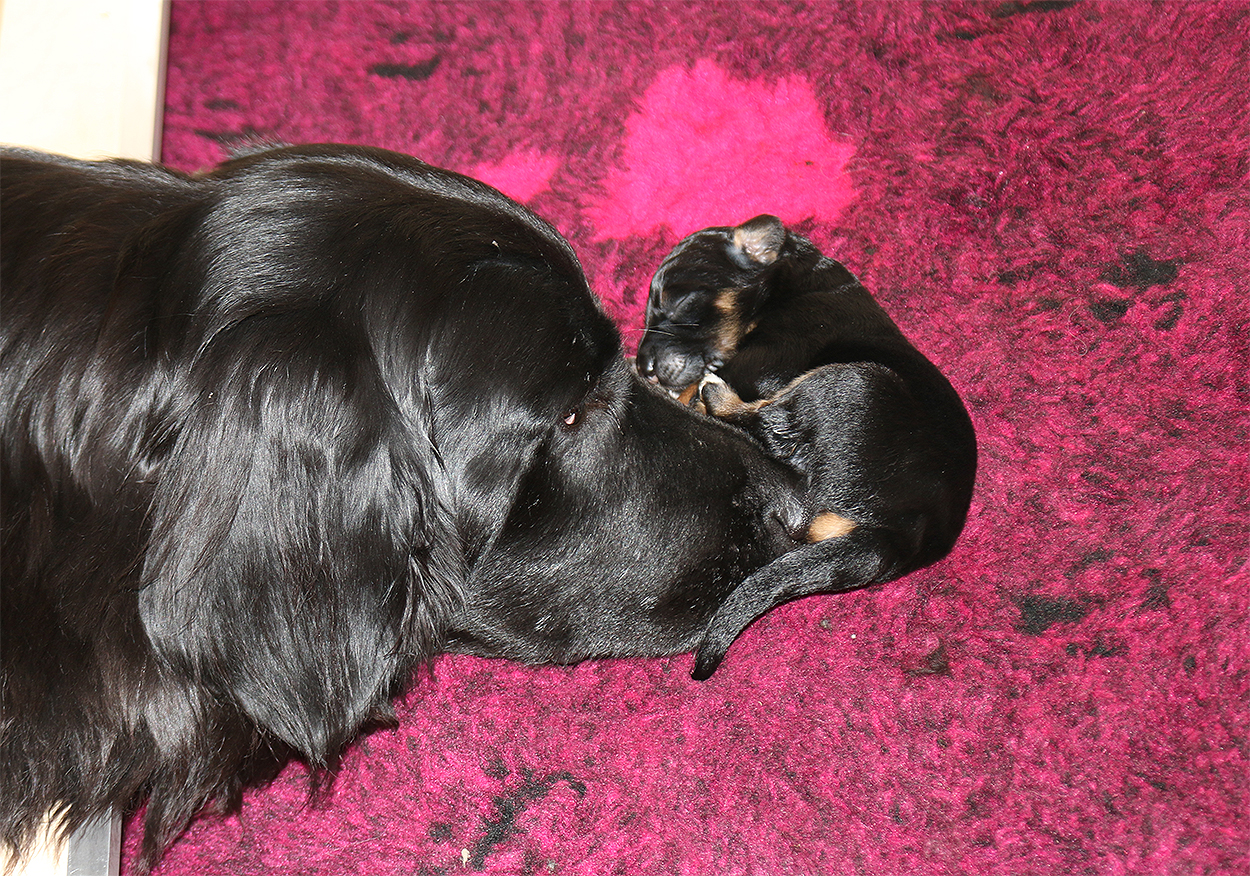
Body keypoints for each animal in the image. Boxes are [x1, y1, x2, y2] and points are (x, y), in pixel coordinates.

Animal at [637, 215, 978, 680]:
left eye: (678, 300)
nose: (643, 366)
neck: (789, 280)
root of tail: (903, 533)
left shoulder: (761, 367)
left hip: (852, 382)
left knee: (763, 422)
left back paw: (713, 394)